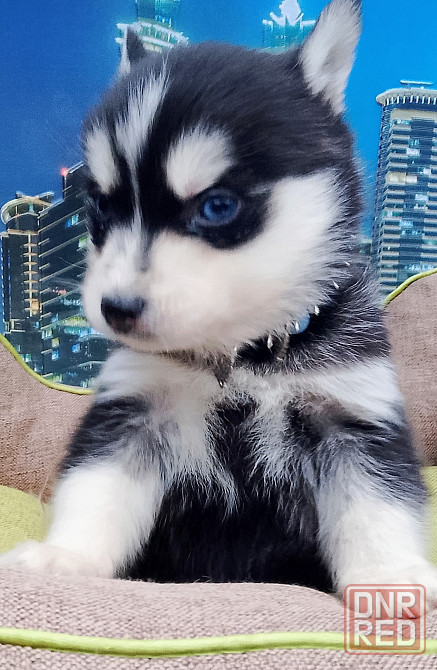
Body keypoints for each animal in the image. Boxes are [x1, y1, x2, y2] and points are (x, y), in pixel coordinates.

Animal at [2, 0, 437, 606]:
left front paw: (391, 576)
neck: (243, 354)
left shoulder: (352, 415)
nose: (115, 310)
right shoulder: (134, 411)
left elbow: (375, 507)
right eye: (101, 208)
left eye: (217, 206)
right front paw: (66, 556)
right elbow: (97, 489)